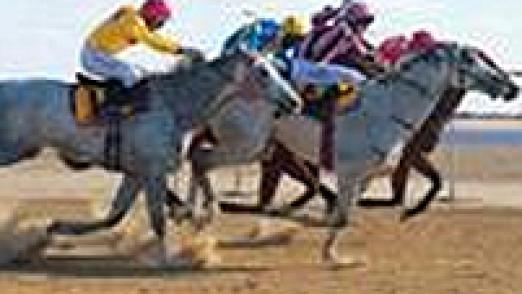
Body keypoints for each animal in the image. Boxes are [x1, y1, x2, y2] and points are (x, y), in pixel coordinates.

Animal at [0, 51, 294, 266]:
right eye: (264, 71)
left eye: (278, 68)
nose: (294, 100)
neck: (173, 106)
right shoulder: (153, 171)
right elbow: (157, 219)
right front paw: (167, 258)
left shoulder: (136, 172)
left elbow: (115, 215)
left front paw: (56, 229)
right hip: (13, 149)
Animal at [185, 43, 512, 264]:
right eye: (473, 58)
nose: (511, 86)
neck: (387, 108)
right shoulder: (350, 171)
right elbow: (341, 215)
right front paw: (333, 256)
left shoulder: (366, 173)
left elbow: (344, 211)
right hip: (248, 145)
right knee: (200, 159)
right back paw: (202, 215)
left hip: (255, 147)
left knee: (197, 157)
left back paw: (193, 215)